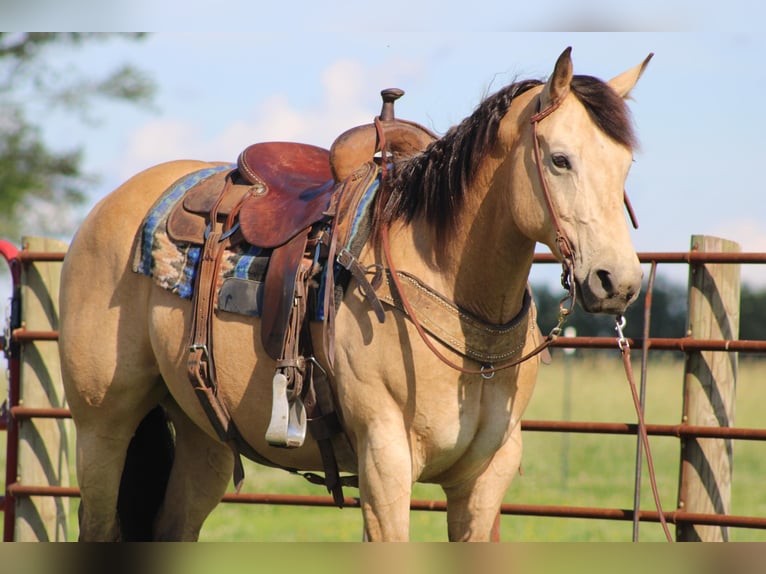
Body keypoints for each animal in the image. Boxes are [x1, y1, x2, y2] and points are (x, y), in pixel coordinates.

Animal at [59, 48, 651, 541]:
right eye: (560, 160)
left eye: (625, 165)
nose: (617, 282)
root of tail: (108, 207)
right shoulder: (385, 464)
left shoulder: (485, 479)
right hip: (101, 428)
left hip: (202, 436)